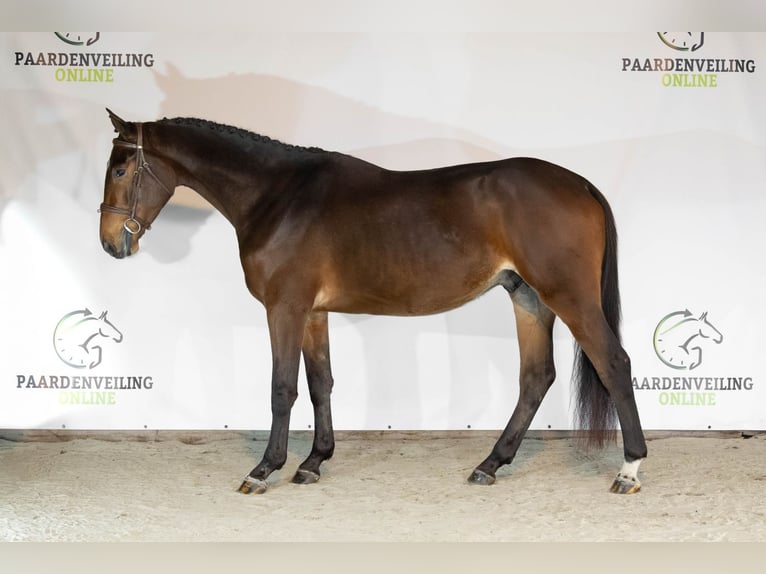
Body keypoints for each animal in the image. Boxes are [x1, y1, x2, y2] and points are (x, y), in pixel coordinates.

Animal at [98, 109, 647, 495]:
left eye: (122, 169)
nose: (109, 243)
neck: (279, 196)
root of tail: (580, 184)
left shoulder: (284, 308)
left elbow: (282, 388)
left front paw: (265, 468)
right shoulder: (314, 312)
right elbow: (320, 384)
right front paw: (314, 462)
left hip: (567, 296)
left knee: (614, 364)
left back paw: (629, 469)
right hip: (529, 298)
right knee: (536, 378)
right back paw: (489, 465)